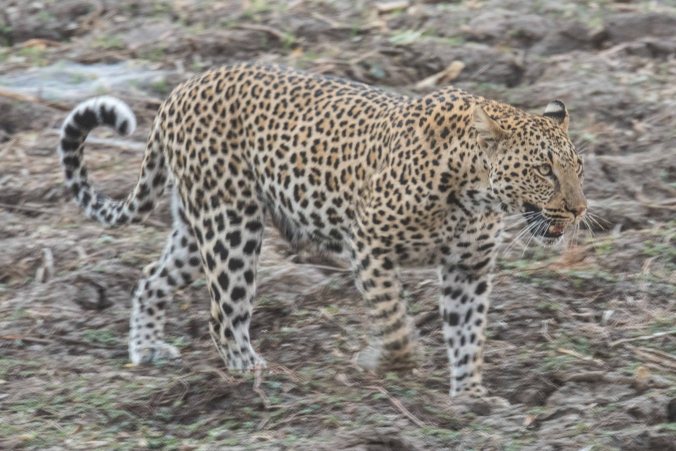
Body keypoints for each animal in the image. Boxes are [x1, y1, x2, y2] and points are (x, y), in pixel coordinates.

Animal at [57, 63, 586, 398]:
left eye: (578, 168)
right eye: (544, 171)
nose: (579, 209)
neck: (473, 193)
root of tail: (181, 89)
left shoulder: (468, 268)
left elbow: (468, 334)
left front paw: (471, 396)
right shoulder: (369, 244)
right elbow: (394, 321)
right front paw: (384, 361)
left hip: (196, 226)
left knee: (151, 278)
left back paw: (146, 349)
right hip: (232, 227)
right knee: (223, 312)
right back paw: (252, 374)